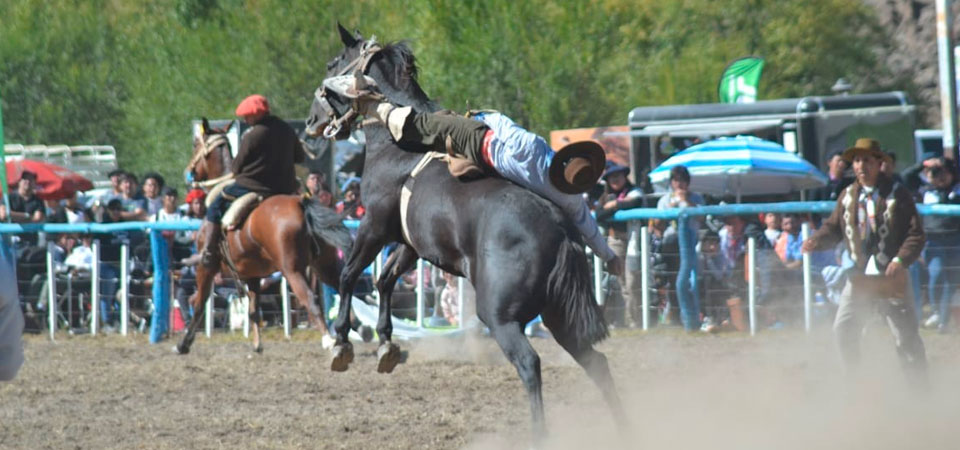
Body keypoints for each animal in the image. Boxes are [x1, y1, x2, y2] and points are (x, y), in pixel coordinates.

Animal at [174, 118, 354, 356]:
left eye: (196, 145)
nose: (188, 172)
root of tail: (302, 203)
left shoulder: (206, 268)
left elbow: (199, 304)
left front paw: (184, 343)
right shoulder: (252, 275)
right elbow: (253, 310)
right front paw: (257, 345)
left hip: (293, 270)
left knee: (311, 300)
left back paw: (329, 340)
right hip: (324, 265)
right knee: (344, 290)